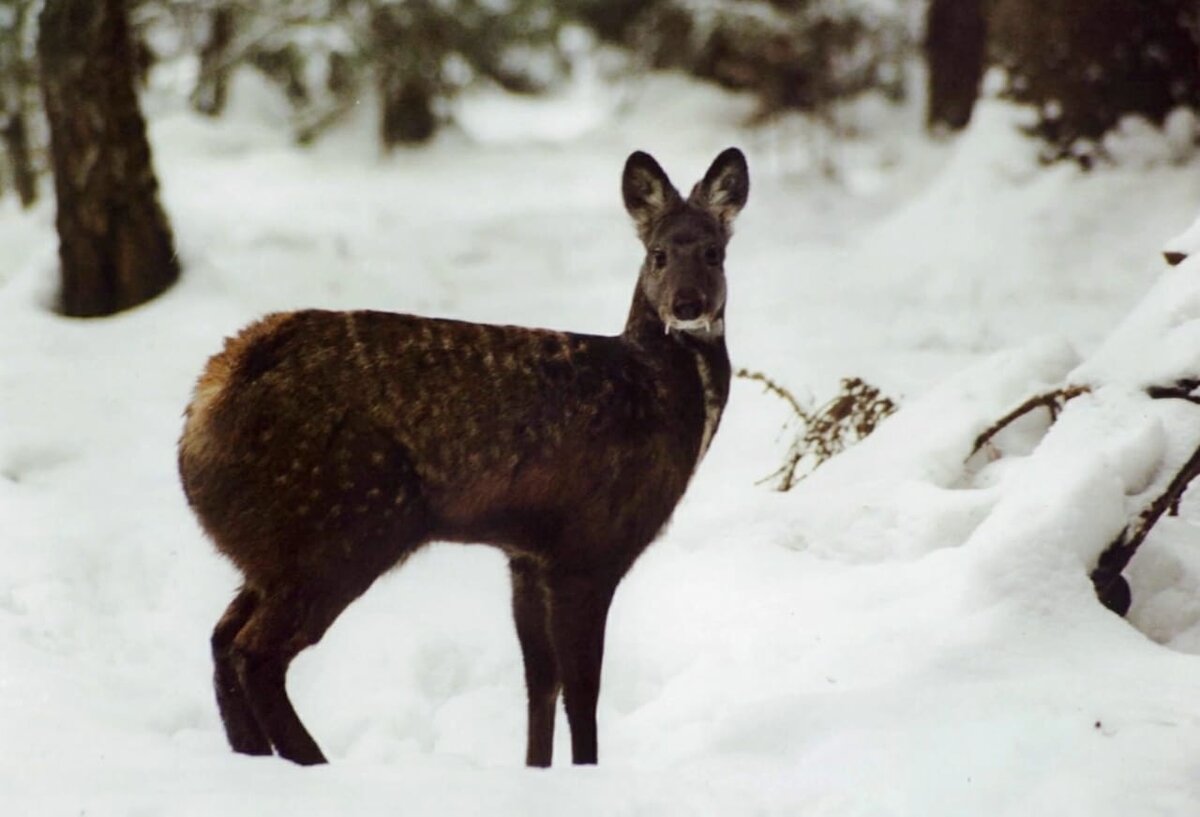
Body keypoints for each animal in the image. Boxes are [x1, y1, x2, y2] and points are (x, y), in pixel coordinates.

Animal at [177, 146, 748, 763]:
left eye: (714, 252)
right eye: (657, 254)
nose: (687, 304)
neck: (653, 391)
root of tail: (206, 404)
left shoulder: (526, 554)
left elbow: (541, 681)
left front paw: (536, 771)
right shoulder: (590, 542)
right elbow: (582, 690)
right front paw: (585, 772)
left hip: (272, 549)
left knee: (221, 639)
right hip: (343, 525)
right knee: (253, 653)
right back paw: (315, 764)